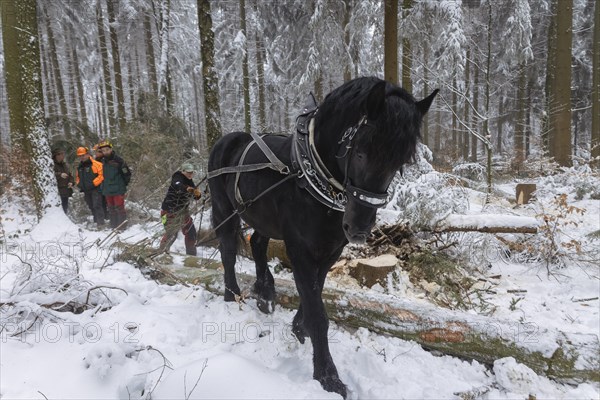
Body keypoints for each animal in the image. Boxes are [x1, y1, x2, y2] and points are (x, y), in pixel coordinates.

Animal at [206, 76, 436, 398]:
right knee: (228, 251)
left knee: (258, 245)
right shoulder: (299, 248)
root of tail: (227, 140)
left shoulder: (330, 249)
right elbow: (318, 312)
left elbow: (315, 290)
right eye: (361, 151)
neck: (311, 178)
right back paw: (232, 296)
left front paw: (298, 327)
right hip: (224, 210)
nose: (359, 228)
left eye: (401, 162)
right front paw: (328, 376)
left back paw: (265, 294)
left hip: (262, 216)